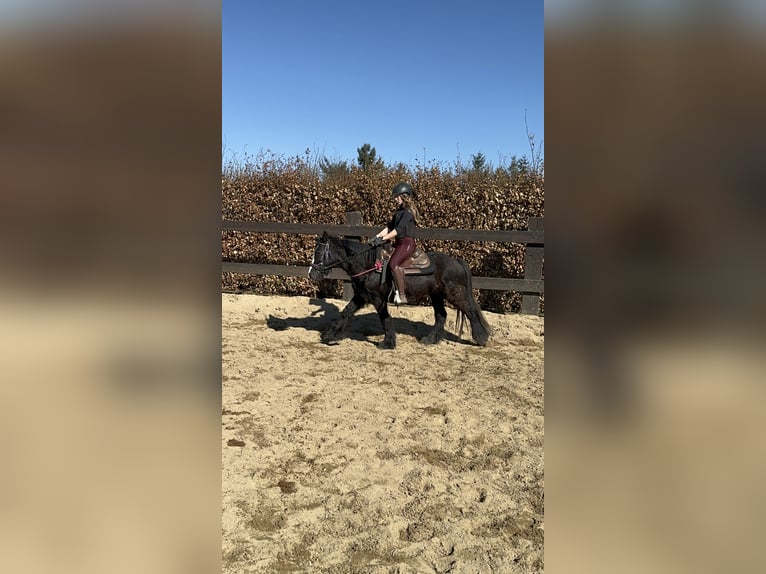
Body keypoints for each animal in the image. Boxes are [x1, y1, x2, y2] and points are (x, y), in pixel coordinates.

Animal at [308, 233, 492, 352]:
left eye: (318, 252)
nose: (311, 274)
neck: (369, 264)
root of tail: (457, 261)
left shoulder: (378, 298)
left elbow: (385, 319)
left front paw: (388, 343)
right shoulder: (361, 296)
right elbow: (346, 312)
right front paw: (330, 335)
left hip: (455, 294)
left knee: (471, 312)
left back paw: (481, 338)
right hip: (436, 296)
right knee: (441, 315)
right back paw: (430, 339)